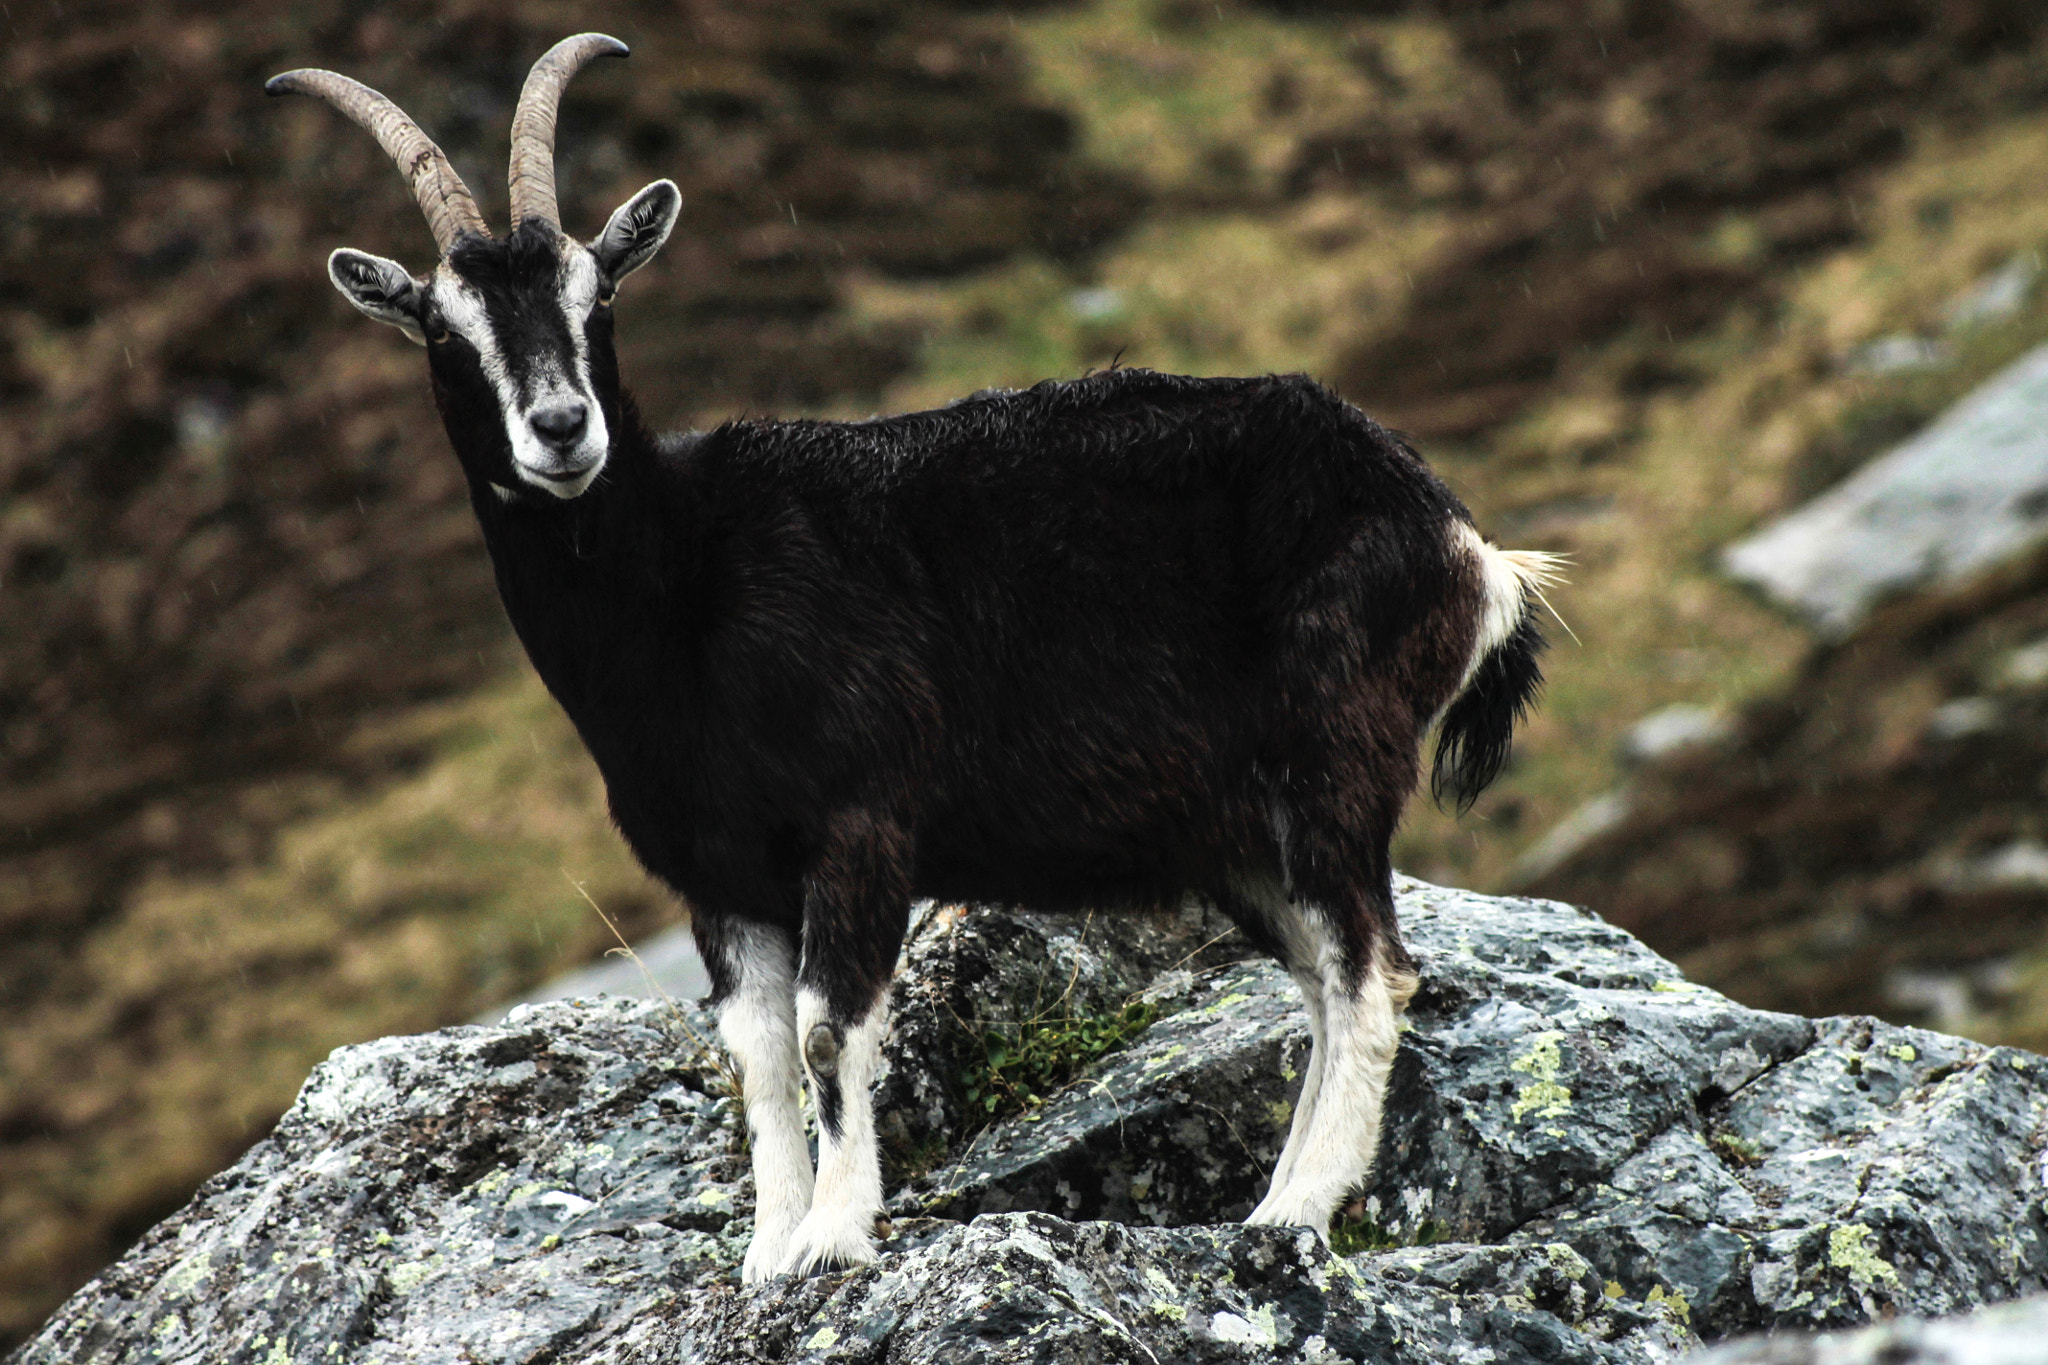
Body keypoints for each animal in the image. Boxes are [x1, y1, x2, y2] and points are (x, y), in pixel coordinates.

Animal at [272, 37, 1548, 1285]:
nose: (559, 428)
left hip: (1330, 759)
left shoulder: (858, 824)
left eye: (600, 297)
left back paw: (1292, 1215)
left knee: (1370, 974)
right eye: (446, 329)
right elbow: (758, 1056)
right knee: (1326, 981)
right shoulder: (718, 879)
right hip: (1238, 836)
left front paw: (836, 1235)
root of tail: (1463, 544)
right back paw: (1275, 1196)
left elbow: (830, 1032)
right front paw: (768, 1256)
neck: (690, 583)